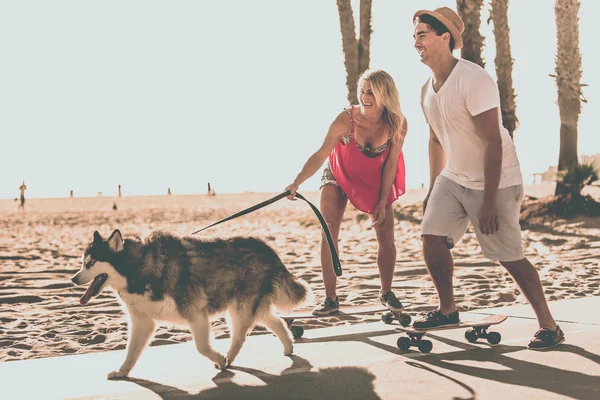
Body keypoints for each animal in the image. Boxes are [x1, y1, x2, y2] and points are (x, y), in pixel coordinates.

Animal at [71, 230, 310, 380]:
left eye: (91, 263)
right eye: (83, 263)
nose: (73, 279)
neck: (137, 267)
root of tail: (267, 247)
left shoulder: (195, 312)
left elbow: (201, 346)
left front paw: (219, 358)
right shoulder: (142, 322)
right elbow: (131, 352)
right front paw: (122, 372)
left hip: (240, 307)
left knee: (240, 336)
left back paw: (229, 358)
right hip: (250, 306)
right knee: (276, 321)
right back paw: (288, 346)